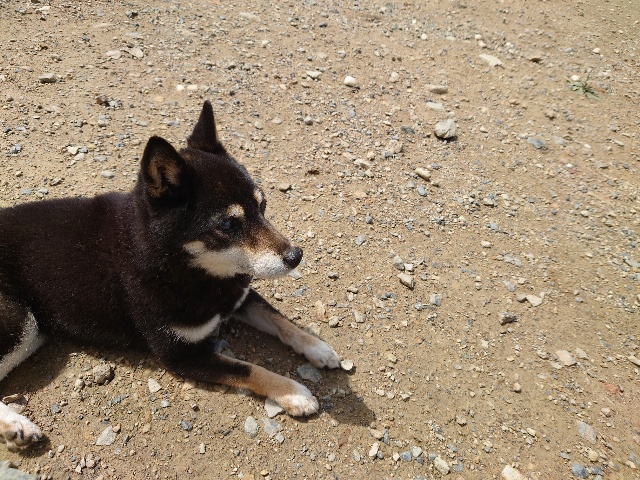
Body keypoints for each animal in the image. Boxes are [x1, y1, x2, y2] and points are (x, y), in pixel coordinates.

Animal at [0, 100, 340, 452]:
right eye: (228, 225)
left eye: (263, 205)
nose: (295, 256)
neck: (196, 271)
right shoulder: (181, 354)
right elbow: (249, 369)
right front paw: (293, 392)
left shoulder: (237, 293)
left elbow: (279, 320)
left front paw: (317, 347)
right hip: (20, 321)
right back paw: (16, 425)